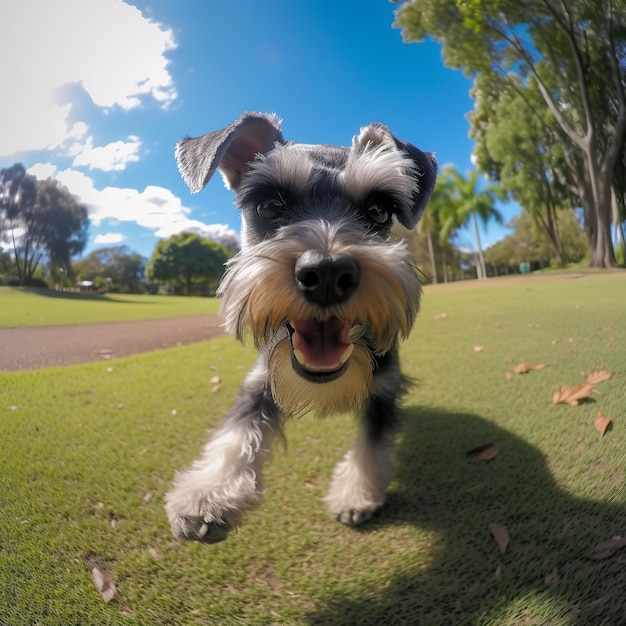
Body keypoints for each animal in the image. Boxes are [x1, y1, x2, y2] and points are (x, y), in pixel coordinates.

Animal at [165, 112, 434, 540]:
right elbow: (236, 431)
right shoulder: (259, 383)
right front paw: (209, 493)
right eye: (269, 205)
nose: (327, 273)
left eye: (379, 211)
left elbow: (372, 444)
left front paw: (356, 494)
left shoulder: (384, 390)